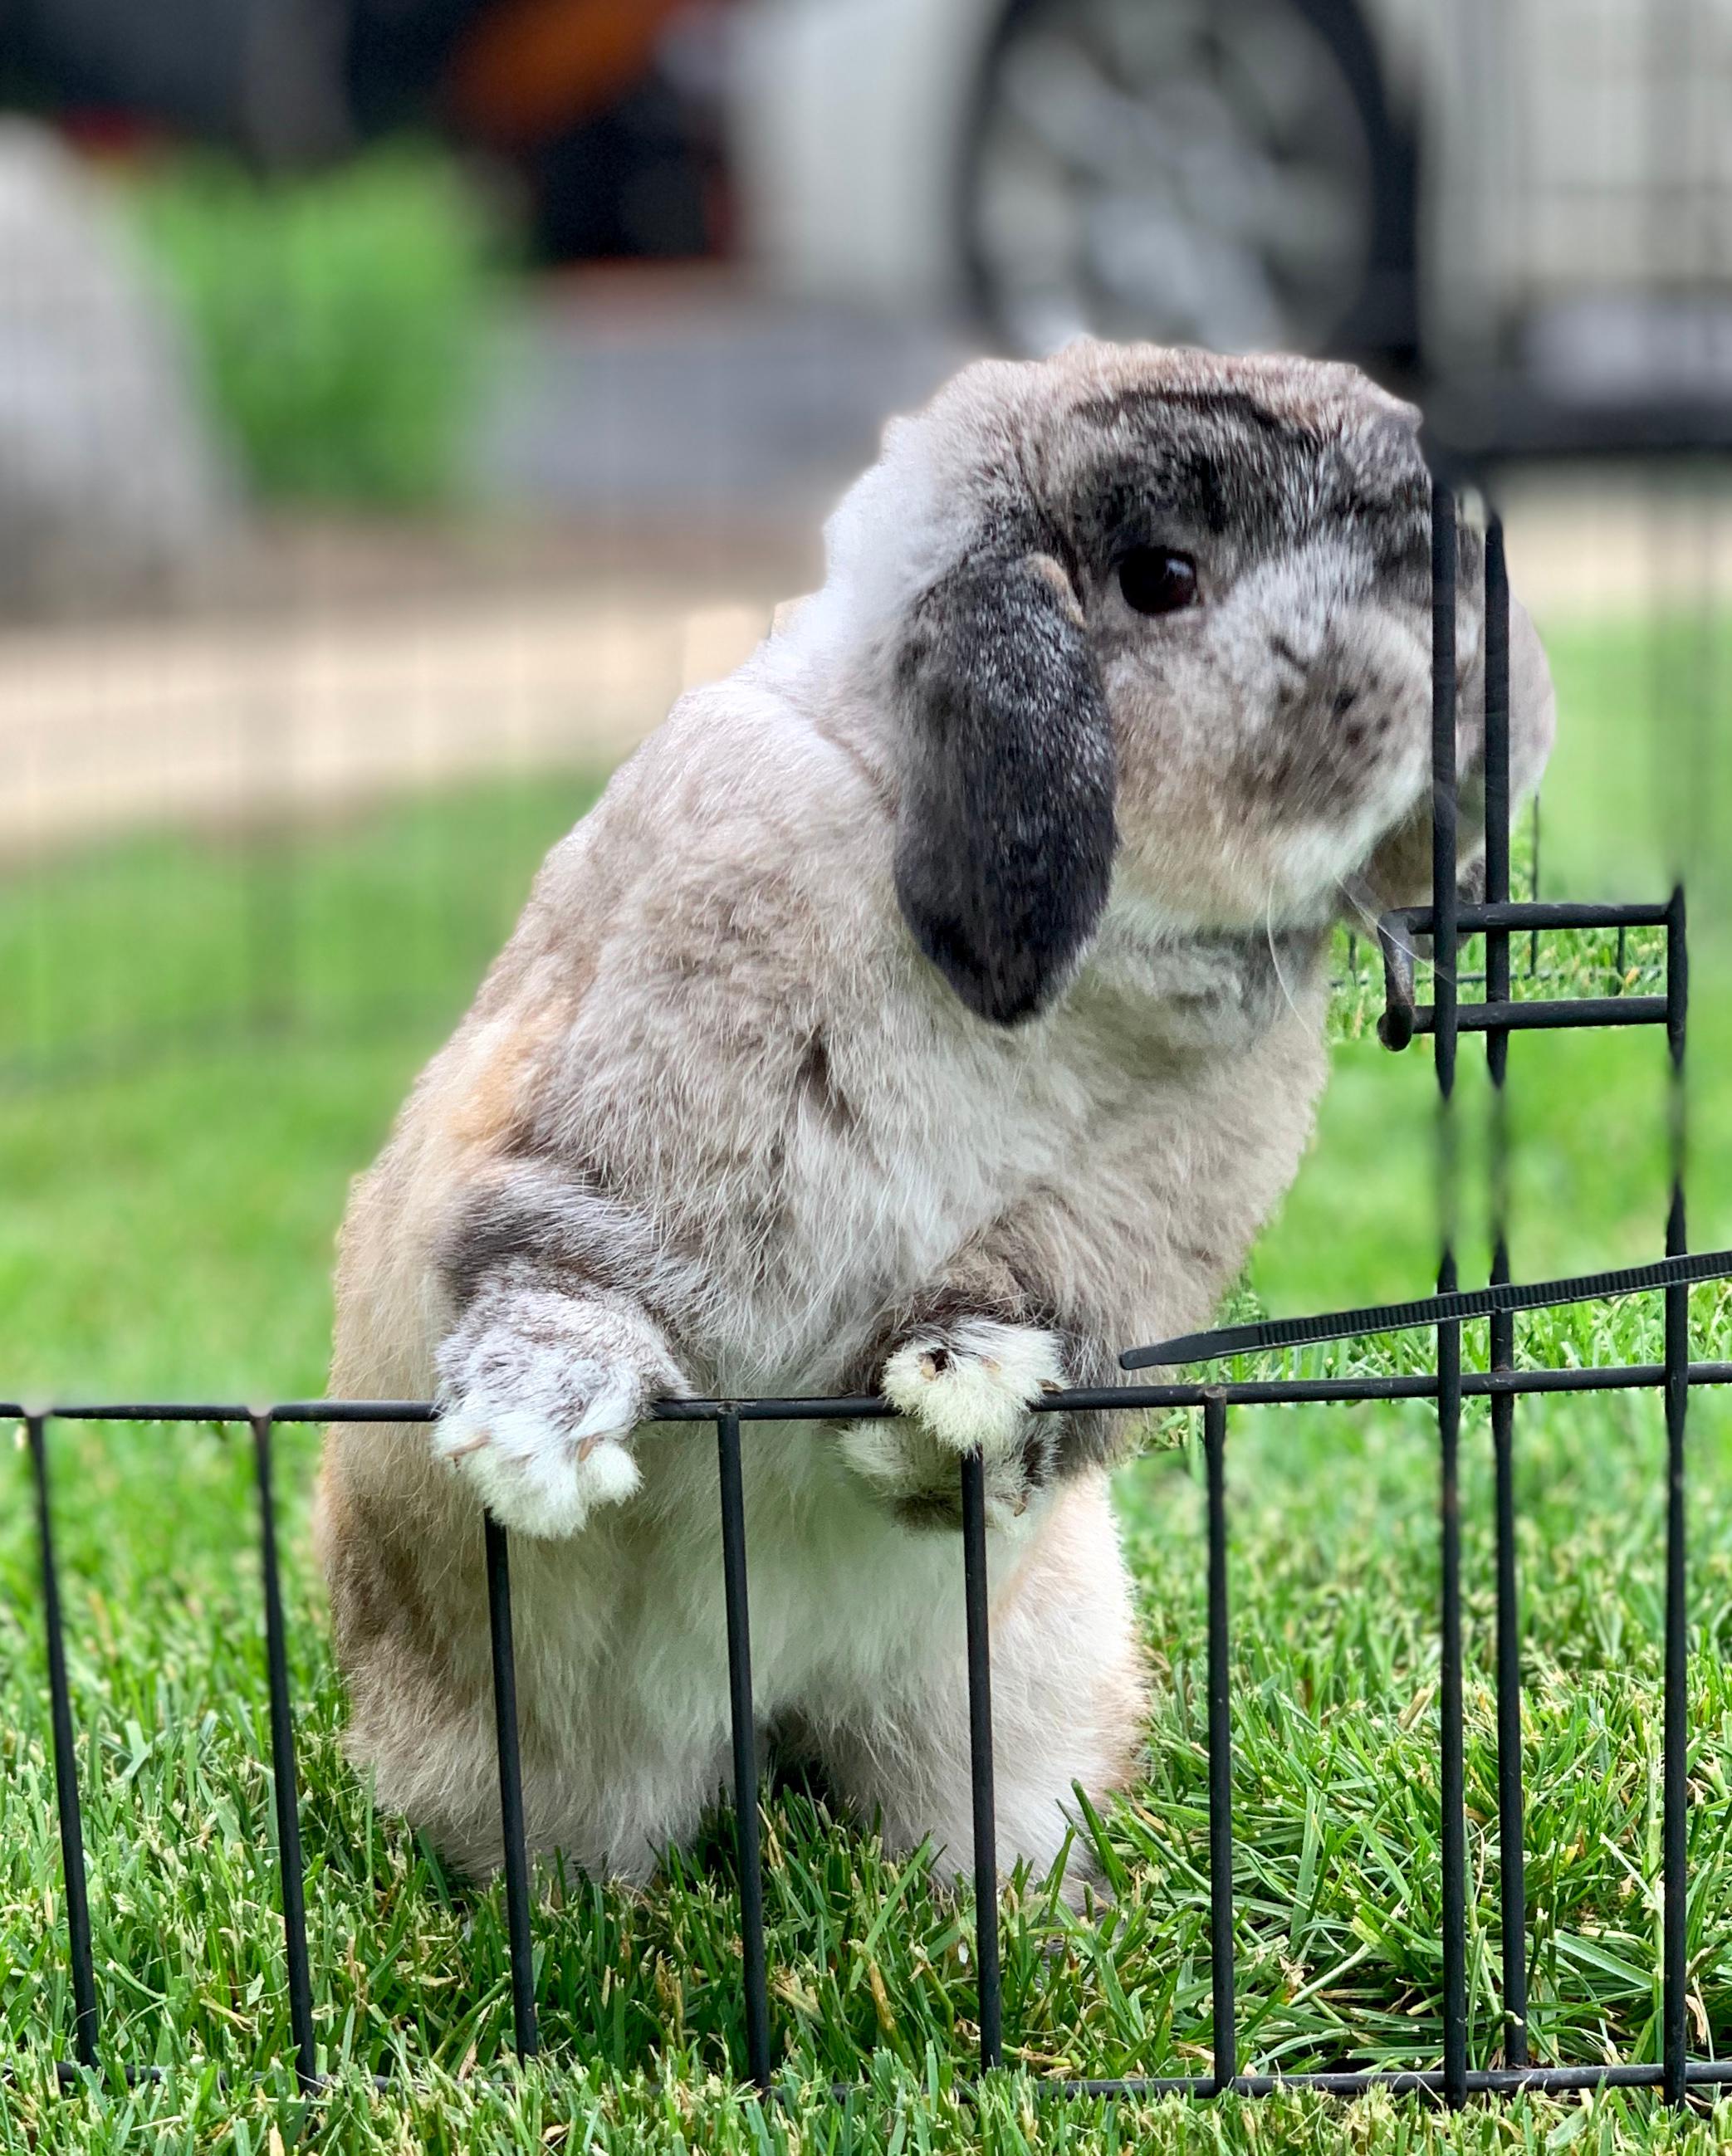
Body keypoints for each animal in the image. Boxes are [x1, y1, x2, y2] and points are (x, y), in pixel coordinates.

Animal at [316, 341, 1554, 1897]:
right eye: (1162, 575)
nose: (1486, 680)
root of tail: (760, 1708)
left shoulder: (1131, 1223)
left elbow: (1022, 1309)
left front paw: (955, 1395)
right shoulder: (639, 1099)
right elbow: (581, 1262)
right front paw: (540, 1441)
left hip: (1001, 1697)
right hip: (544, 1772)